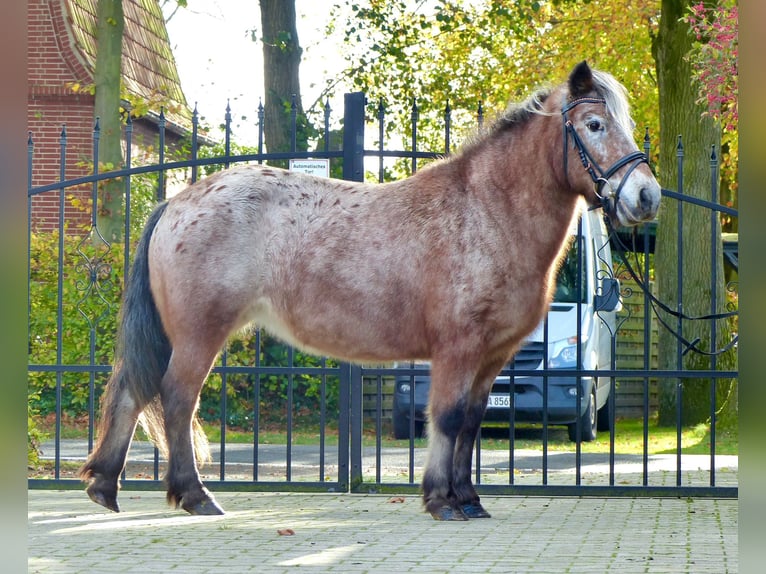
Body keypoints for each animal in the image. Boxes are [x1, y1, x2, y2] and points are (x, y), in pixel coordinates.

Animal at [81, 62, 664, 520]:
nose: (647, 196)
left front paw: (468, 499)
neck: (485, 212)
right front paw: (442, 501)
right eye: (594, 124)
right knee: (177, 398)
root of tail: (177, 202)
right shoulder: (457, 349)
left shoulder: (492, 356)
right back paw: (195, 496)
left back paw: (105, 488)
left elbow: (472, 423)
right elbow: (448, 418)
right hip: (200, 333)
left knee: (133, 391)